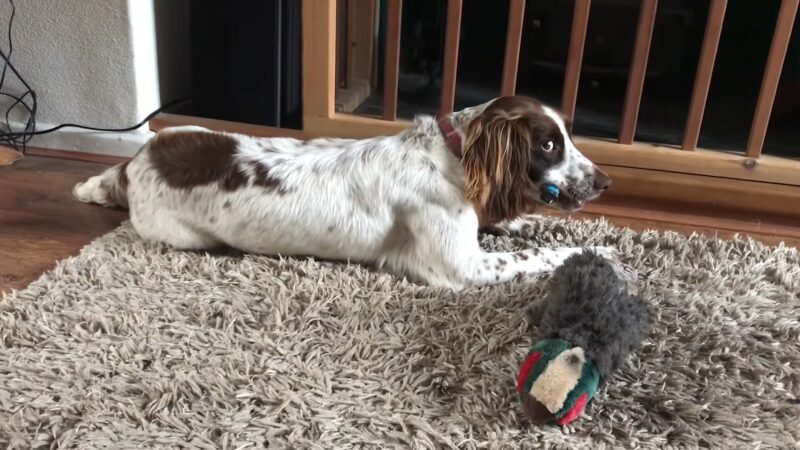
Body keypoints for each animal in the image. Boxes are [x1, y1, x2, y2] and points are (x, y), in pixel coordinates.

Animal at [75, 96, 612, 290]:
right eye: (548, 144)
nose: (605, 182)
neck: (450, 155)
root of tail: (134, 162)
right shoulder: (463, 267)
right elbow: (538, 254)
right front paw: (599, 250)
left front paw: (534, 221)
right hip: (189, 236)